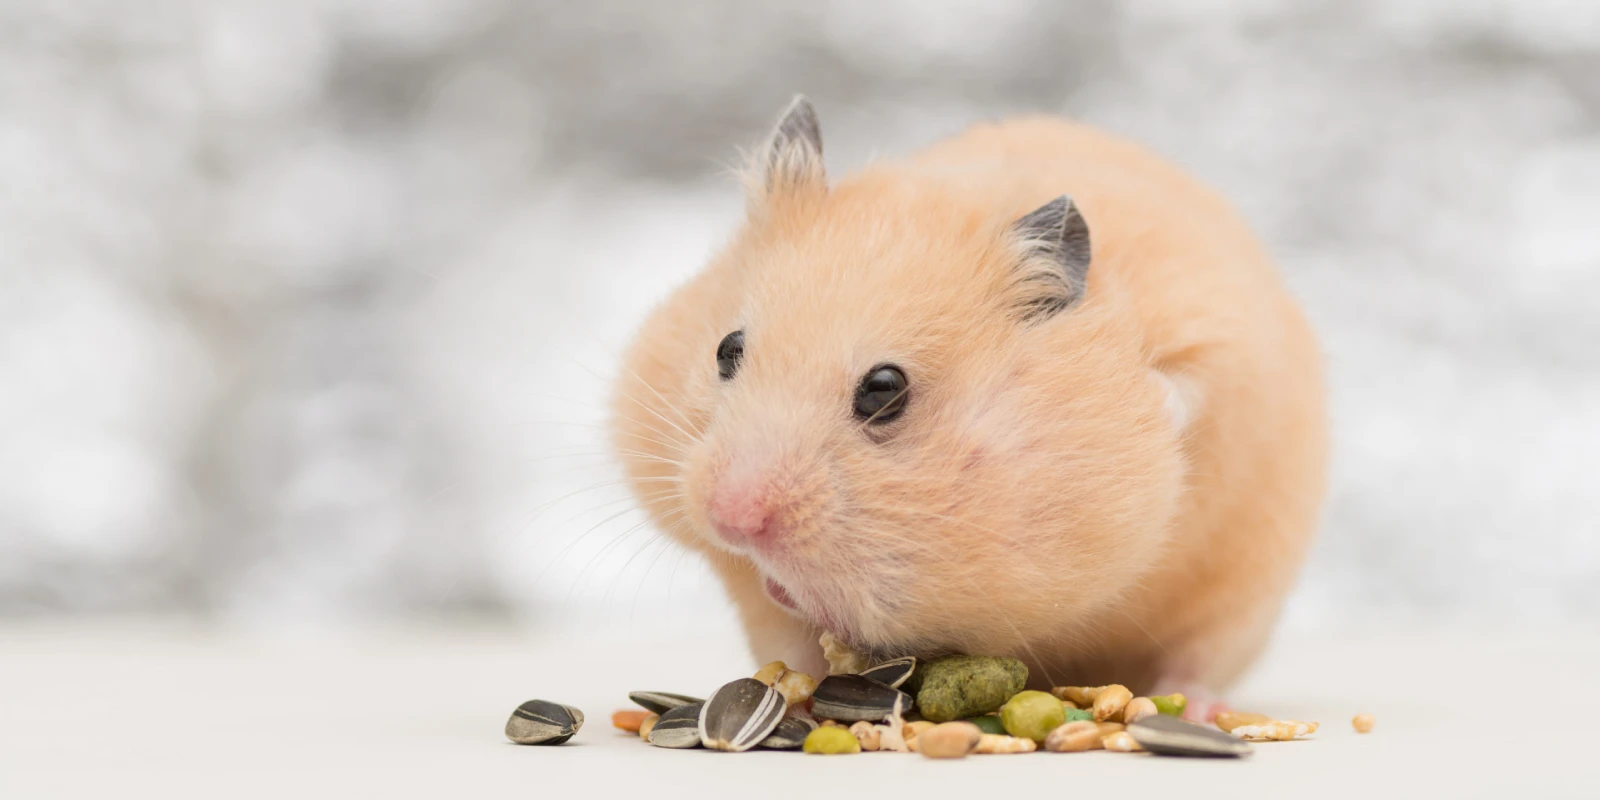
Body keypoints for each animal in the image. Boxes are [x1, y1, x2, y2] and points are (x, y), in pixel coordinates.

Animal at [610, 97, 1326, 716]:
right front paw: (784, 606)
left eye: (884, 389)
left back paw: (1198, 713)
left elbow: (1181, 396)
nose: (731, 519)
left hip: (1243, 599)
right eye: (726, 349)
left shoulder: (1216, 359)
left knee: (1198, 661)